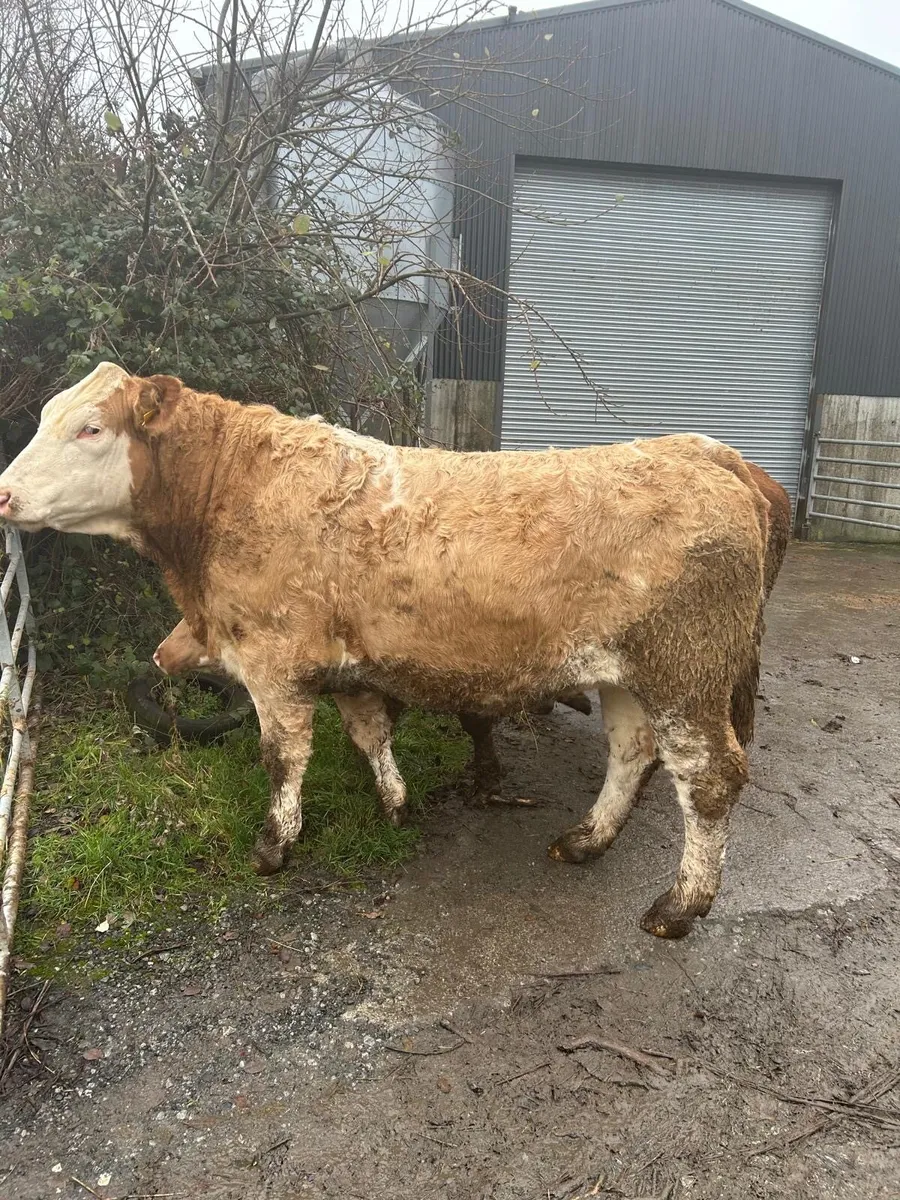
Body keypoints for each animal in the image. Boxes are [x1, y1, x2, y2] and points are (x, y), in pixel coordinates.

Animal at [0, 363, 769, 938]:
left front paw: (275, 845)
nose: (4, 492)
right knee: (632, 750)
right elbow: (370, 732)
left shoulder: (274, 663)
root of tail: (701, 450)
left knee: (709, 779)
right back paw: (586, 839)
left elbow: (282, 758)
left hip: (686, 673)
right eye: (43, 417)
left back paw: (679, 907)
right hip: (628, 676)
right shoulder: (346, 669)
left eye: (90, 427)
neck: (227, 494)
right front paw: (396, 804)